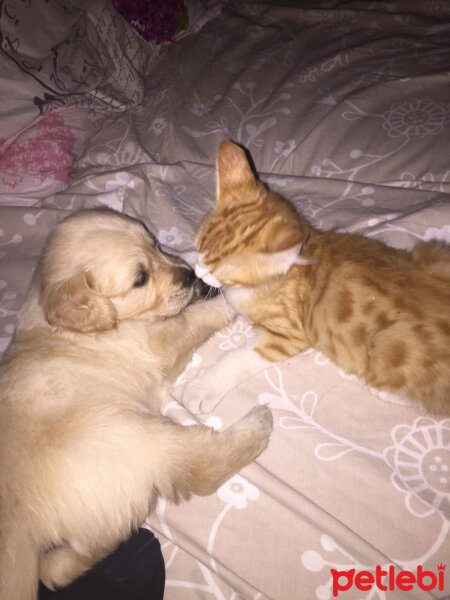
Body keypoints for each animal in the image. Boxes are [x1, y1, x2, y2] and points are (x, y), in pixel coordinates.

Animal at [0, 210, 270, 600]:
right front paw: (229, 296)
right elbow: (199, 316)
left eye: (156, 243)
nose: (189, 276)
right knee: (199, 464)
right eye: (140, 279)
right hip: (130, 436)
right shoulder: (159, 342)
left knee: (58, 568)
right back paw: (259, 422)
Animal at [192, 141, 450, 414]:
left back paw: (387, 393)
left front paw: (204, 387)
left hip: (385, 345)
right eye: (197, 249)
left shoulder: (288, 335)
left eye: (217, 271)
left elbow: (239, 359)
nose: (198, 273)